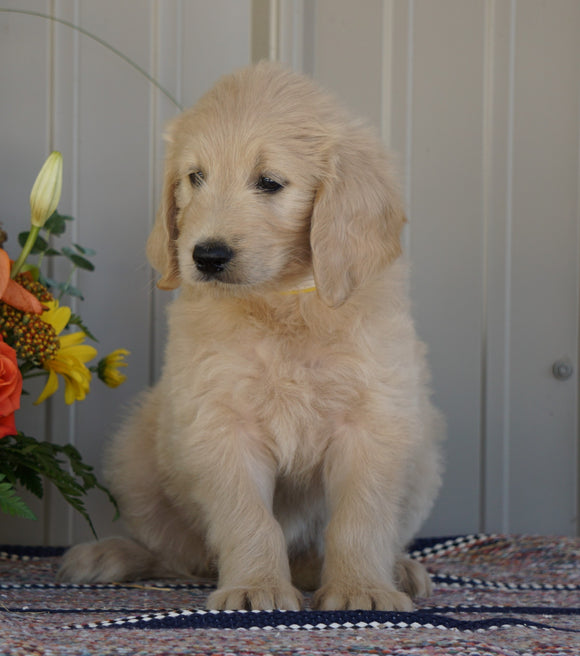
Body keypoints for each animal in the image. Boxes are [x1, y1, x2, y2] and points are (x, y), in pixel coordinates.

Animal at [59, 61, 444, 608]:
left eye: (269, 182)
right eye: (195, 177)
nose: (206, 256)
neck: (281, 302)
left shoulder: (374, 421)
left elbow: (360, 518)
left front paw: (362, 589)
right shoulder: (220, 423)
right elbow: (248, 519)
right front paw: (254, 587)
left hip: (425, 452)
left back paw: (392, 569)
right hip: (134, 454)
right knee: (178, 555)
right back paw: (115, 555)